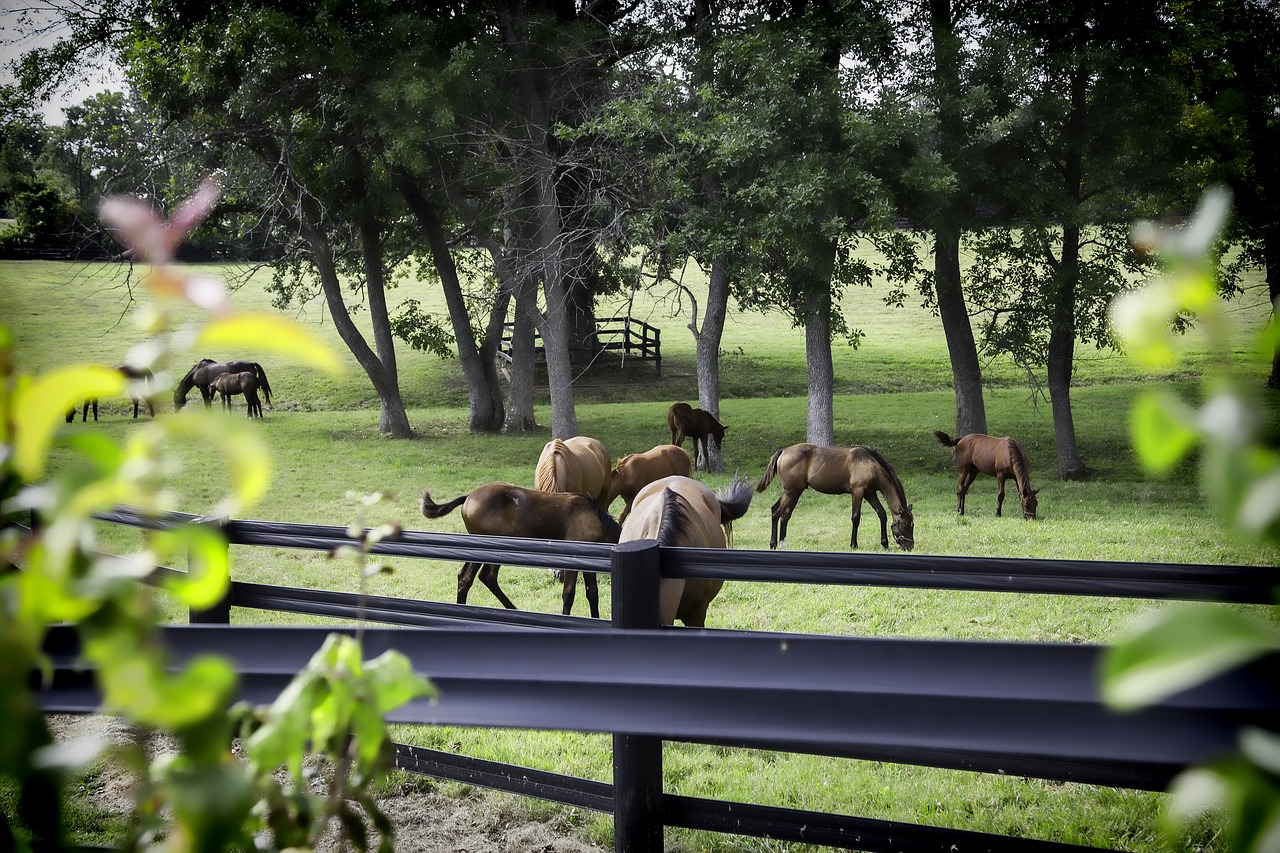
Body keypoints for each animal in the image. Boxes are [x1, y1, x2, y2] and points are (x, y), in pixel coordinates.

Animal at [417, 481, 622, 614]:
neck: (597, 519)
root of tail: (468, 498)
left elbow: (592, 594)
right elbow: (569, 594)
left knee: (475, 576)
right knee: (474, 577)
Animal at [752, 438, 916, 550]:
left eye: (912, 524)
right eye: (905, 525)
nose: (910, 547)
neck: (871, 464)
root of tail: (783, 451)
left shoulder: (870, 493)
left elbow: (881, 514)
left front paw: (885, 544)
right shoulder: (858, 492)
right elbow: (856, 518)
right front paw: (853, 544)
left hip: (796, 492)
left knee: (785, 515)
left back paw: (782, 543)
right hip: (790, 491)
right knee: (776, 511)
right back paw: (773, 544)